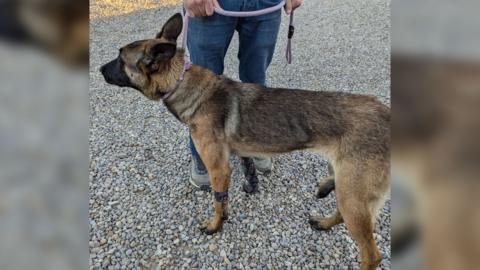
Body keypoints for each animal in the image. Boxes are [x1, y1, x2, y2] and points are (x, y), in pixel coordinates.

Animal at [100, 14, 390, 270]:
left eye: (120, 58)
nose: (99, 69)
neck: (183, 83)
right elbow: (228, 193)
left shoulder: (218, 168)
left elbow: (218, 200)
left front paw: (215, 225)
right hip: (347, 187)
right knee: (342, 212)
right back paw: (323, 219)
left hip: (352, 194)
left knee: (371, 254)